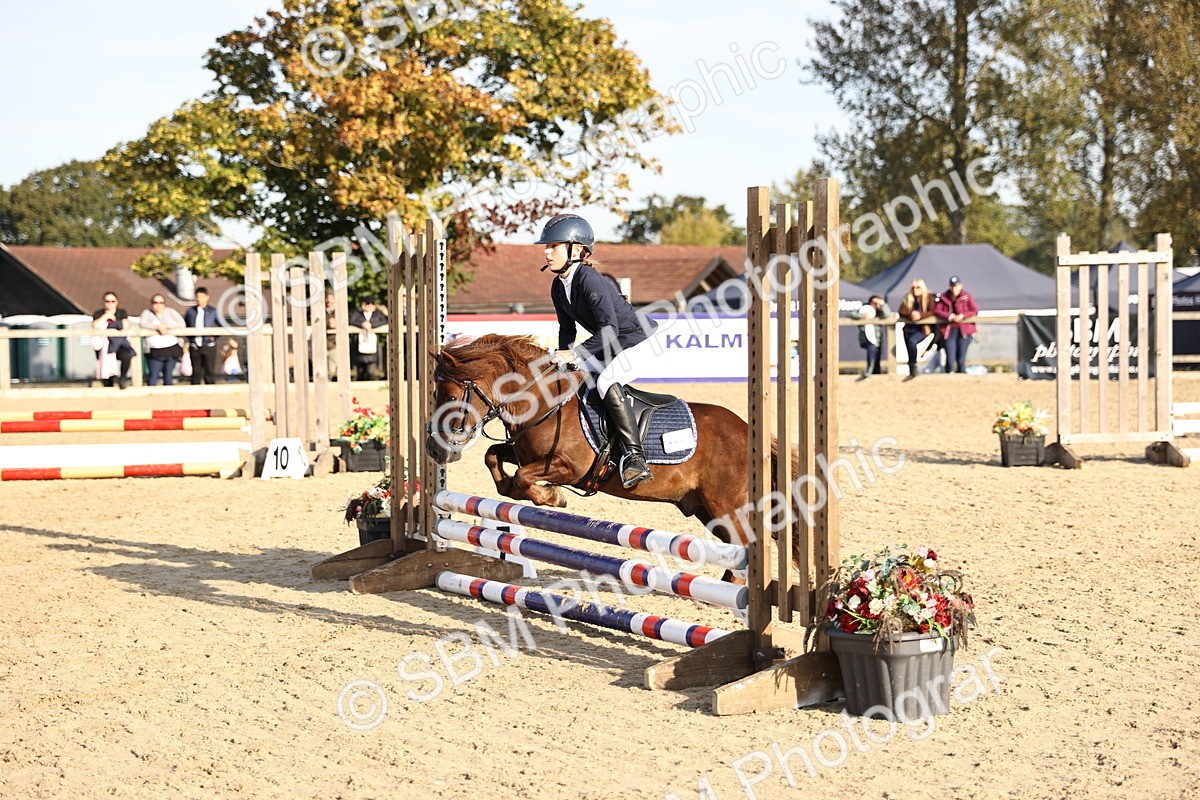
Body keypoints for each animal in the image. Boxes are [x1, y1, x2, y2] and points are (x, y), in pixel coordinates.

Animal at [423, 334, 801, 577]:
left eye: (450, 395)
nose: (433, 449)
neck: (543, 401)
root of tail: (750, 432)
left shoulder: (568, 466)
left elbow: (523, 477)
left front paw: (552, 497)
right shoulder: (523, 452)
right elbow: (494, 459)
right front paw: (531, 494)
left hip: (728, 506)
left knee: (748, 549)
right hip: (708, 510)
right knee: (737, 552)